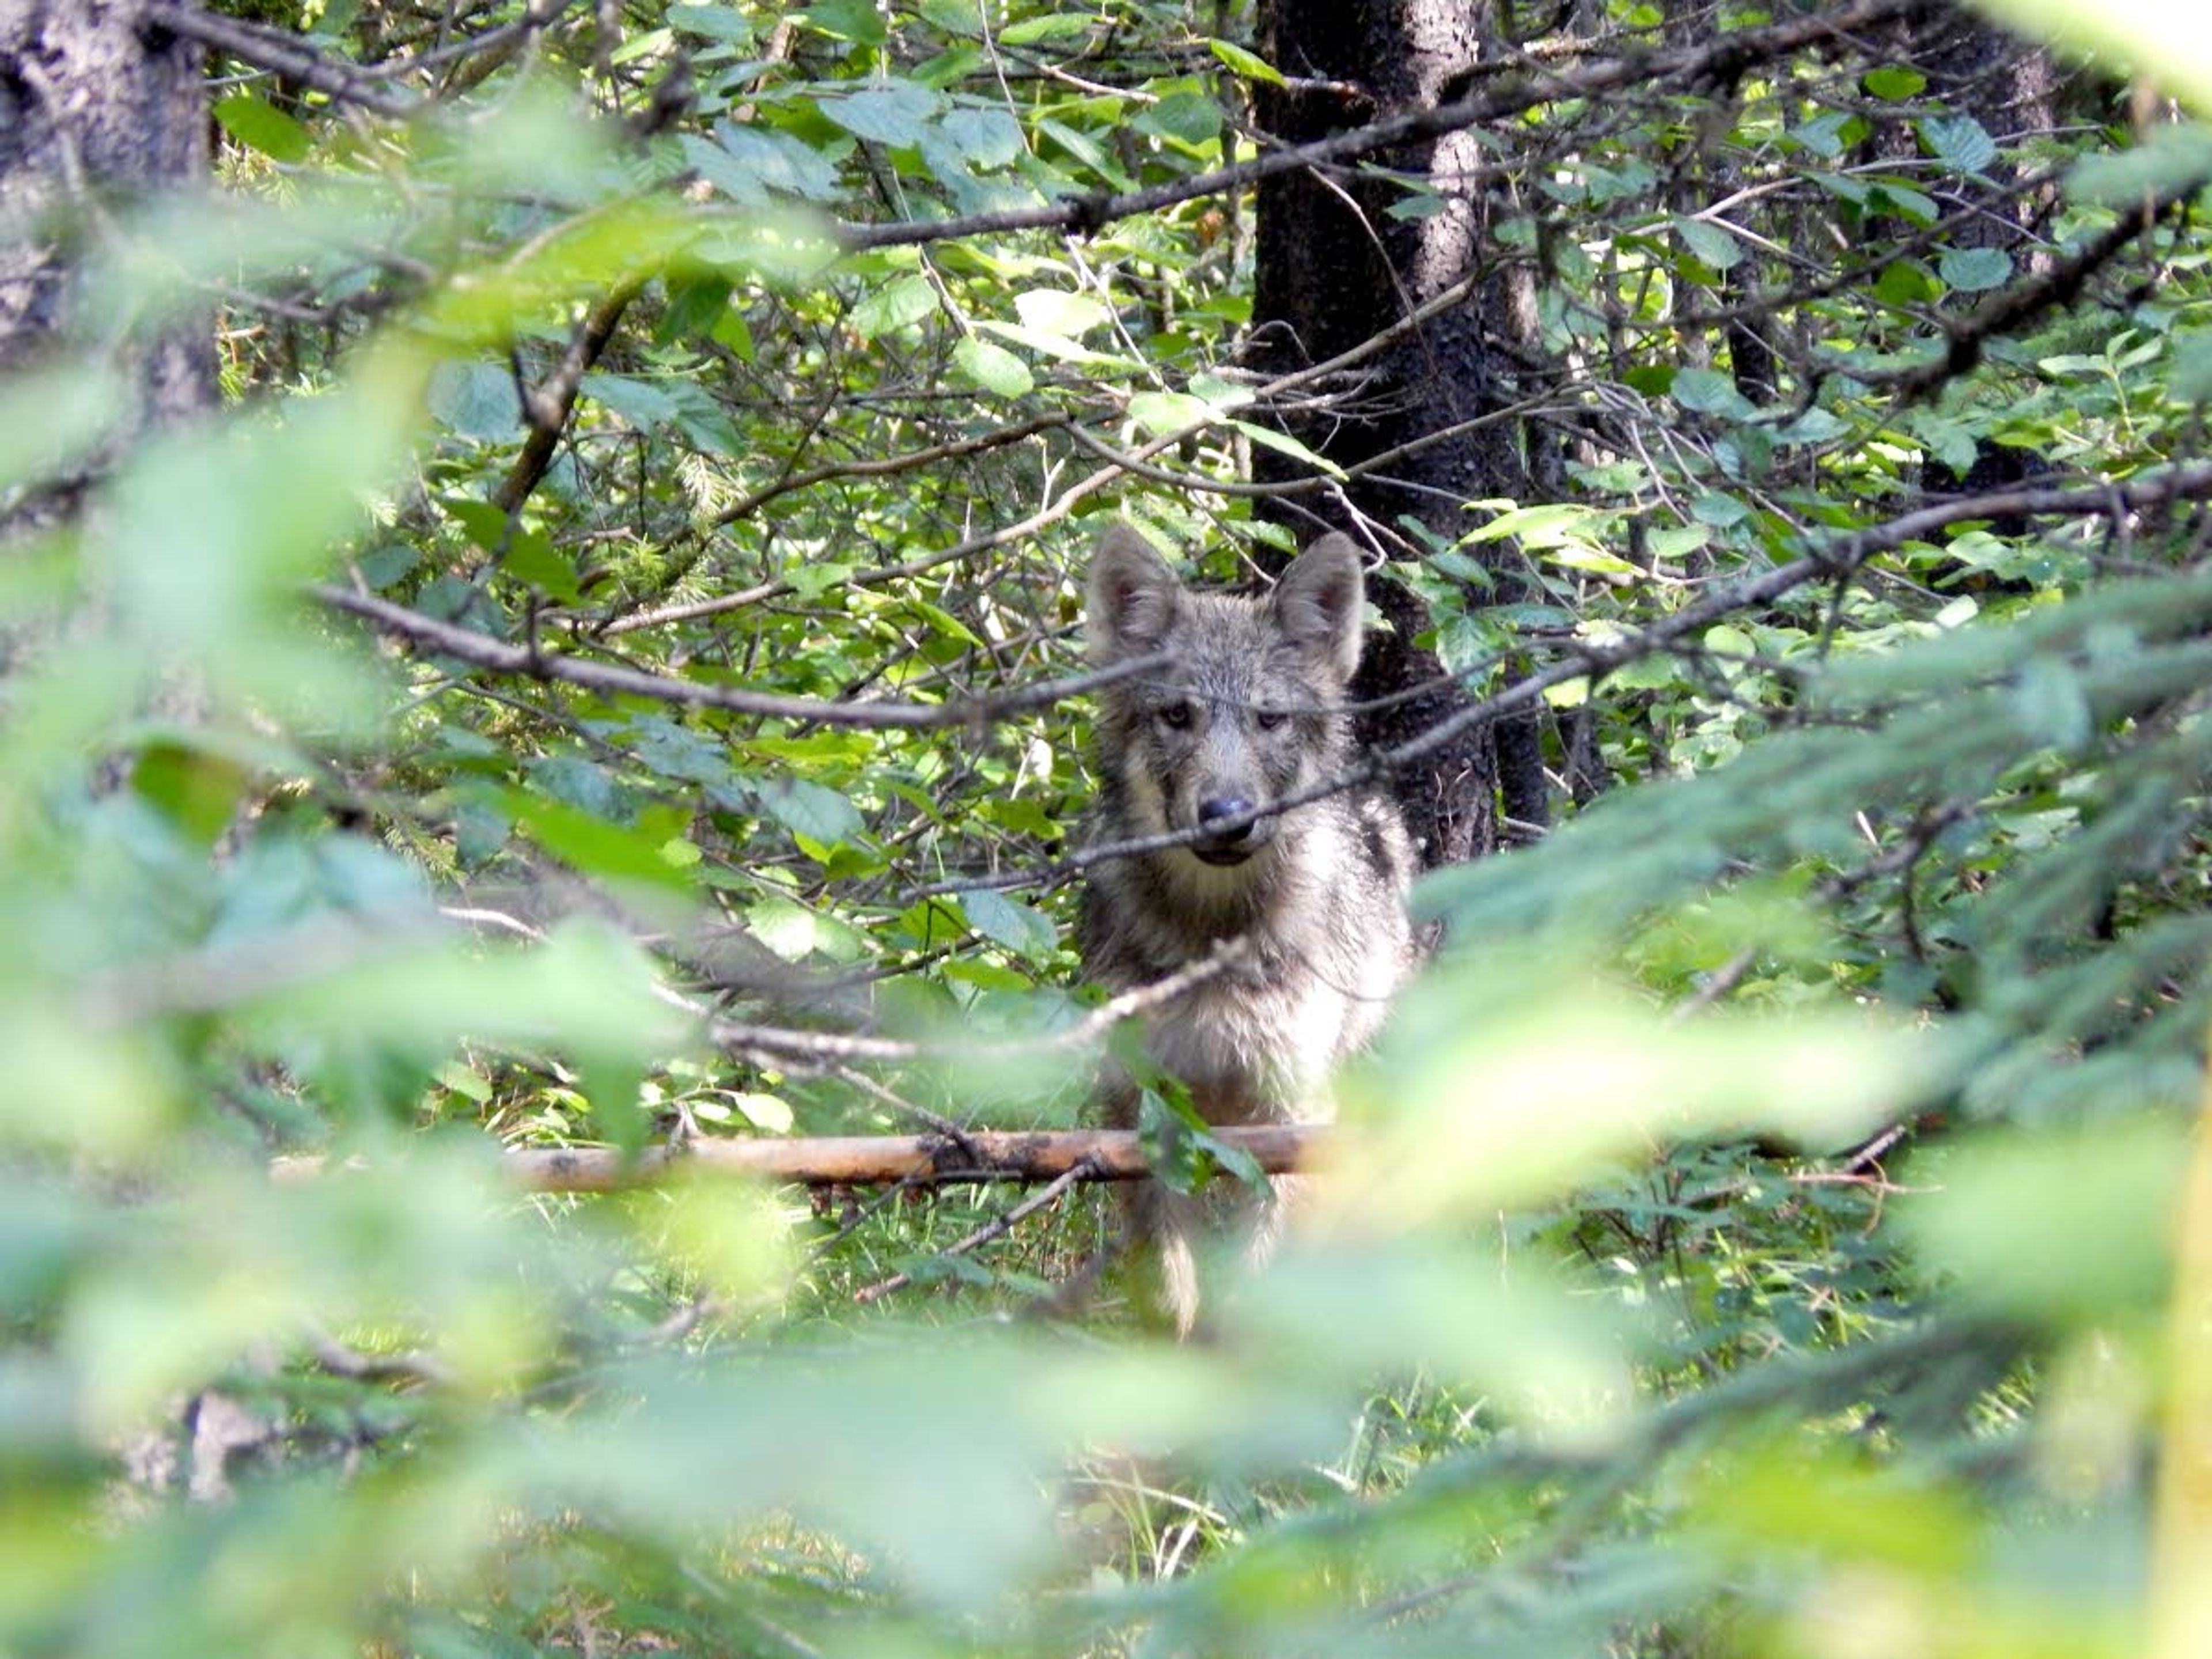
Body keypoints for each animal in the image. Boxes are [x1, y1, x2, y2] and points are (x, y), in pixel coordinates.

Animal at [1075, 520, 1415, 1336]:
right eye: (1177, 716)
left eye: (1269, 720)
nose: (1227, 816)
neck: (1212, 935)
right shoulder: (1143, 1112)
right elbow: (1171, 1292)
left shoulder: (1289, 1113)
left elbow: (1258, 1292)